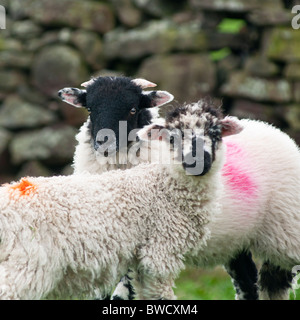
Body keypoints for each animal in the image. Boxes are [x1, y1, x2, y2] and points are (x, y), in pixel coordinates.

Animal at [0, 103, 241, 300]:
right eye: (173, 137)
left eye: (215, 134)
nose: (197, 161)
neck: (163, 186)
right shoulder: (160, 252)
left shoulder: (143, 260)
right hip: (24, 264)